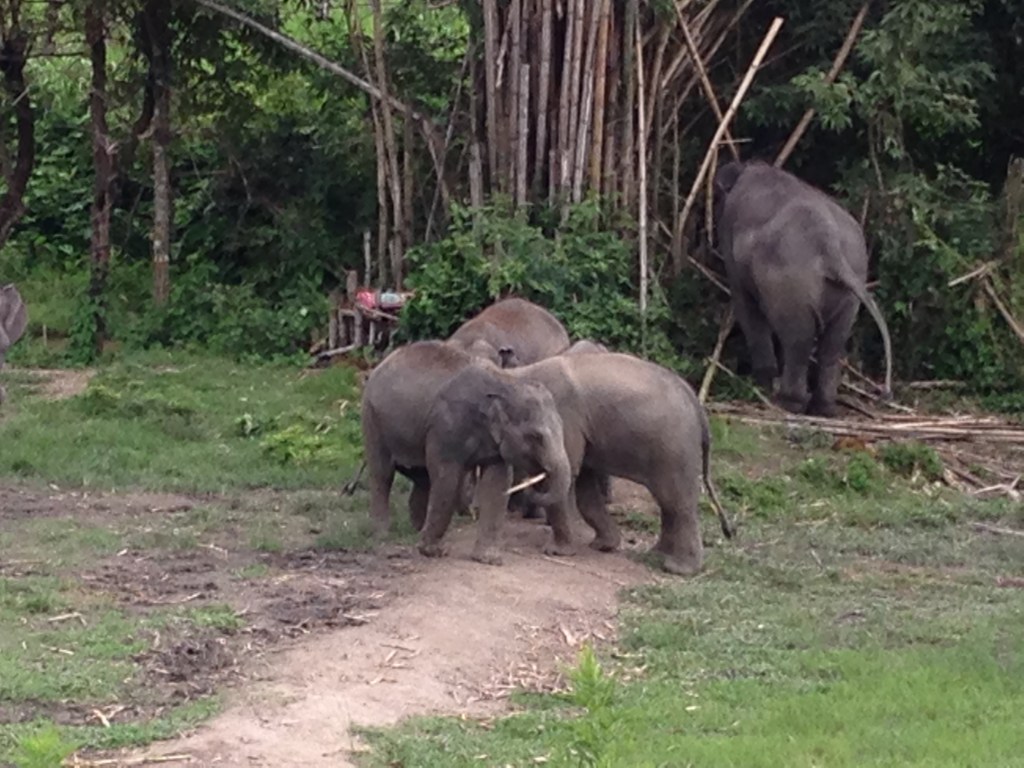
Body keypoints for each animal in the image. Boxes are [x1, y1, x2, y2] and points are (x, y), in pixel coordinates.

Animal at [359, 339, 572, 565]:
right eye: (536, 436)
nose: (533, 481)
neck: (505, 382)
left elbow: (497, 483)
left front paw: (489, 559)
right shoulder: (446, 426)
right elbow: (447, 478)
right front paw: (433, 551)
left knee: (422, 478)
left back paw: (416, 530)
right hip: (371, 418)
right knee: (382, 474)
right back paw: (382, 534)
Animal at [457, 351, 734, 576]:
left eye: (538, 437)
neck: (515, 376)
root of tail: (697, 405)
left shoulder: (567, 420)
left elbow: (567, 479)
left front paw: (556, 552)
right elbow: (585, 491)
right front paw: (603, 546)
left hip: (675, 446)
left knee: (677, 501)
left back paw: (678, 569)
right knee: (668, 503)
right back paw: (657, 554)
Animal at [713, 159, 893, 417]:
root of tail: (829, 246)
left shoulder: (731, 246)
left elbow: (746, 307)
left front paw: (762, 383)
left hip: (791, 283)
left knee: (798, 340)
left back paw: (788, 403)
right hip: (852, 285)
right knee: (832, 345)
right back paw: (823, 408)